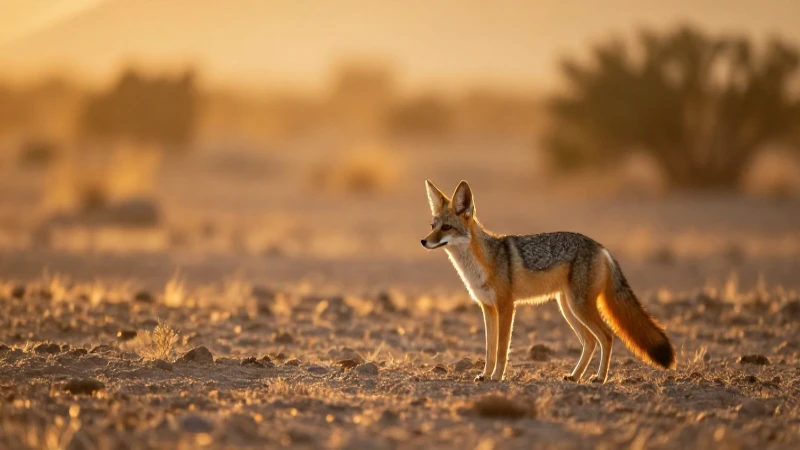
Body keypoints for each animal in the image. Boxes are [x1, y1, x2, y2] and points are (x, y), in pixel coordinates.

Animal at [420, 180, 675, 383]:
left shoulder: (506, 306)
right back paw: (575, 376)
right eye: (432, 226)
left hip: (579, 308)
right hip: (568, 308)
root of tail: (601, 247)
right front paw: (485, 375)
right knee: (590, 341)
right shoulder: (487, 308)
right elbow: (489, 350)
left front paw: (497, 377)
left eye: (446, 227)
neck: (483, 263)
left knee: (607, 337)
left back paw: (599, 378)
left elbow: (502, 349)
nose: (423, 241)